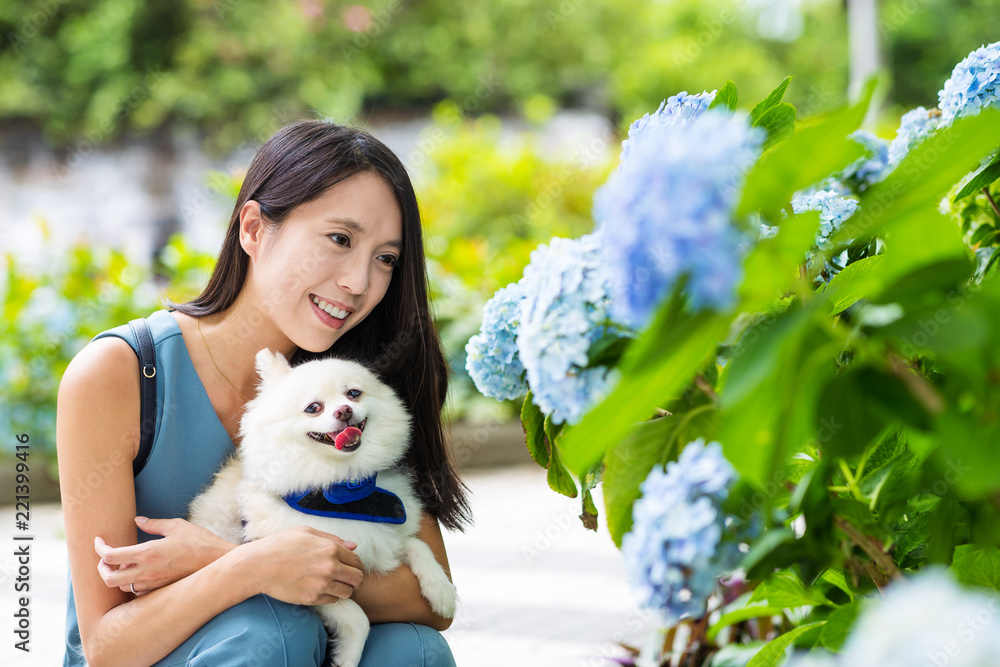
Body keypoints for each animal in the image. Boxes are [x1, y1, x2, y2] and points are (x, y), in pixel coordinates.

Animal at [189, 350, 458, 667]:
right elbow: (356, 616)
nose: (344, 411)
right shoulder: (310, 577)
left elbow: (417, 545)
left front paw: (441, 590)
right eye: (313, 408)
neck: (342, 492)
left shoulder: (381, 535)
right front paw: (347, 658)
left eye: (353, 393)